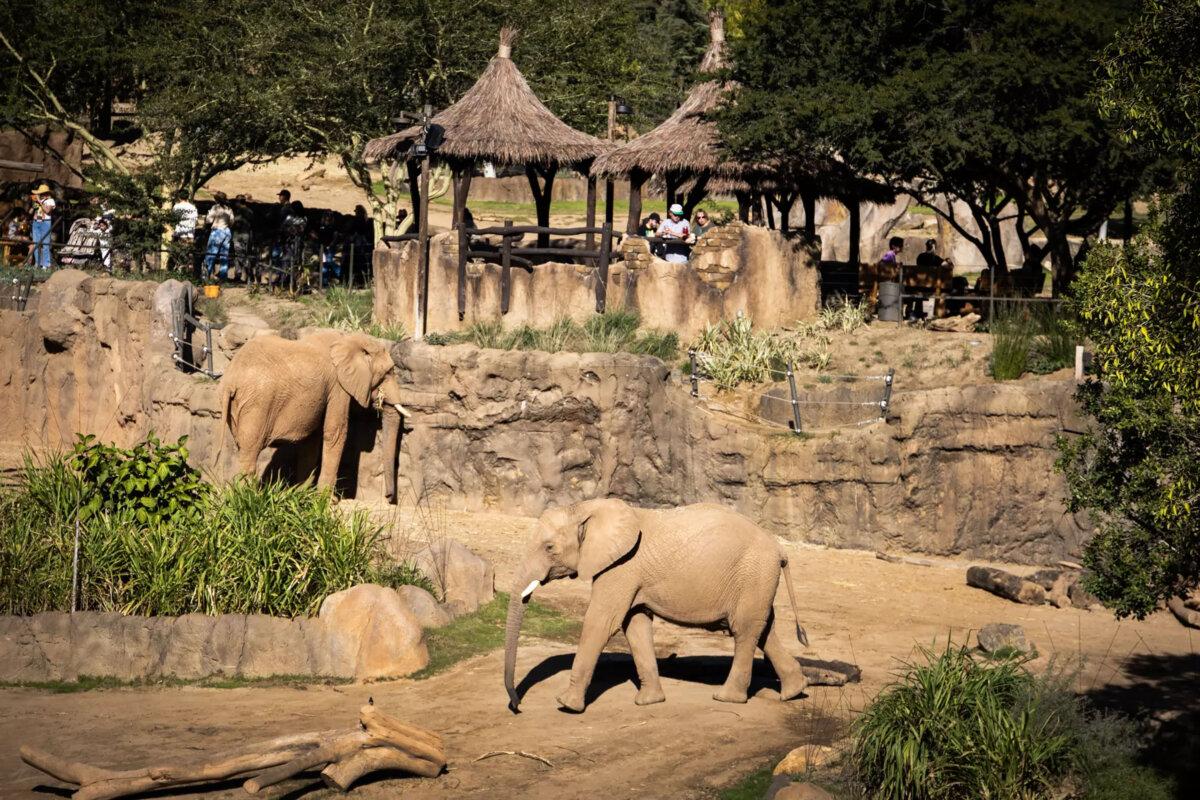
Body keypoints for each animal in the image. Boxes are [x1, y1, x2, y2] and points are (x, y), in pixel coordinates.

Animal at [221, 330, 410, 502]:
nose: (388, 497)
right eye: (388, 372)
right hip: (258, 403)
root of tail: (230, 379)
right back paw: (247, 499)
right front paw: (329, 501)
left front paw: (301, 495)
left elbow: (311, 439)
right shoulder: (337, 387)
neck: (350, 338)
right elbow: (335, 432)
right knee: (250, 451)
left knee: (241, 447)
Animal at [504, 498, 810, 713]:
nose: (518, 706)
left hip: (754, 573)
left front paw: (566, 705)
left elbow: (602, 621)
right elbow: (634, 624)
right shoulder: (629, 573)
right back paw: (794, 691)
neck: (587, 508)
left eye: (549, 548)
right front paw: (648, 702)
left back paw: (726, 698)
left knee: (744, 630)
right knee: (764, 629)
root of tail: (780, 549)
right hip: (757, 581)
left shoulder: (622, 566)